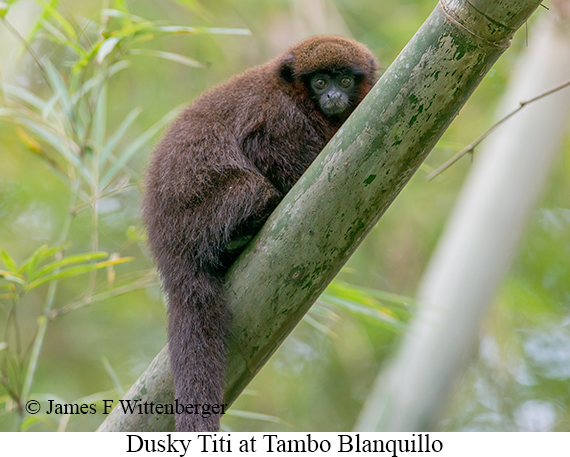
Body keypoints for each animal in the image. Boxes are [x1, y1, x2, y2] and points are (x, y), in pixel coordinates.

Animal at [143, 35, 378, 432]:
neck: (291, 93)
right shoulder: (278, 115)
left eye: (345, 81)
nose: (333, 96)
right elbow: (267, 149)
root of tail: (166, 248)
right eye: (320, 82)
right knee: (253, 188)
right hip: (202, 215)